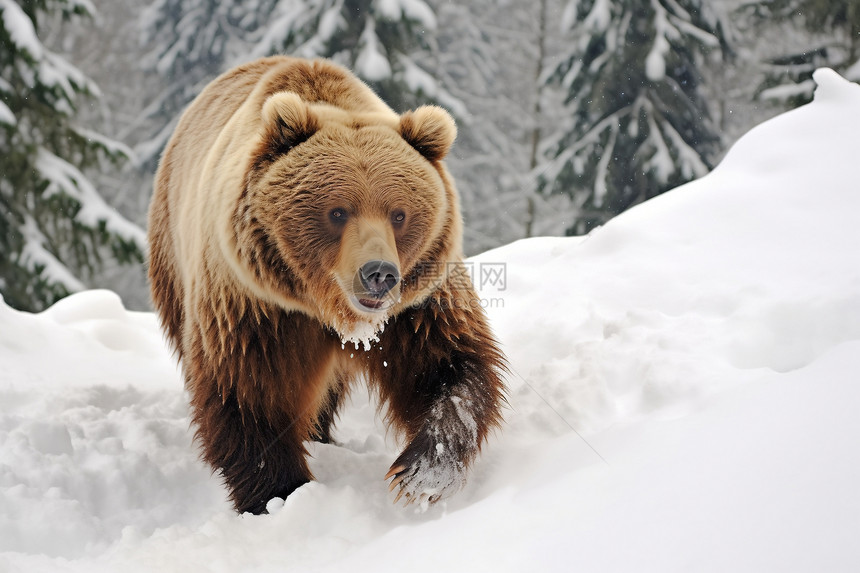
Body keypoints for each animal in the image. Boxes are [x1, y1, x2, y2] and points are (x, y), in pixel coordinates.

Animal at [148, 57, 508, 512]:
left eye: (399, 214)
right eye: (337, 212)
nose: (379, 273)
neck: (326, 307)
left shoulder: (415, 304)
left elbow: (447, 363)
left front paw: (420, 473)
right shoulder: (254, 307)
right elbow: (249, 394)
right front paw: (282, 494)